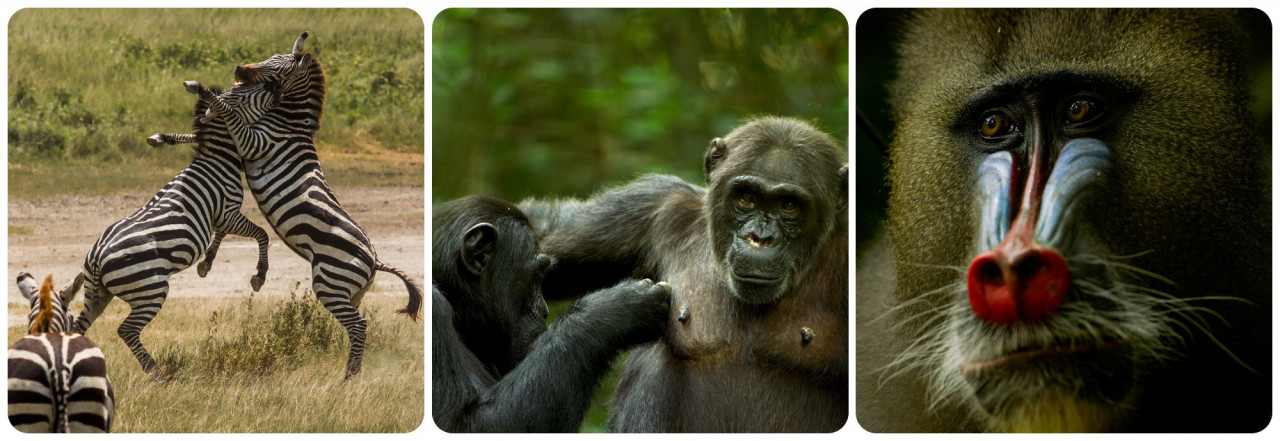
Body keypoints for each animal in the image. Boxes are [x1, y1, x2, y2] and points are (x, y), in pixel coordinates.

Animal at [71, 81, 280, 374]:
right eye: (247, 96)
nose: (276, 86)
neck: (217, 160)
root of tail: (98, 258)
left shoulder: (221, 216)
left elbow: (222, 235)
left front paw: (207, 263)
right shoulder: (228, 212)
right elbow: (262, 234)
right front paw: (259, 276)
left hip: (97, 293)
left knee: (77, 327)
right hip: (151, 289)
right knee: (127, 330)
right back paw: (156, 372)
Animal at [150, 32, 424, 379]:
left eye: (277, 65)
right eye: (270, 56)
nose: (238, 68)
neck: (285, 122)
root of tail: (375, 260)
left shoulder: (252, 142)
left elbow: (226, 114)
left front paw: (200, 92)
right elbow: (203, 133)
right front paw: (163, 136)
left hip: (330, 283)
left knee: (359, 326)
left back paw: (348, 378)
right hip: (351, 292)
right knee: (356, 325)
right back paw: (352, 371)